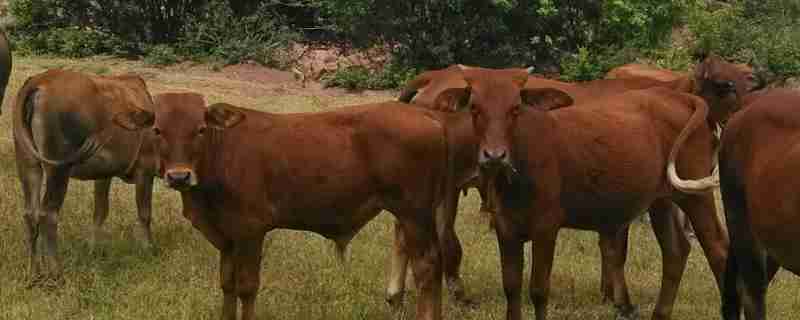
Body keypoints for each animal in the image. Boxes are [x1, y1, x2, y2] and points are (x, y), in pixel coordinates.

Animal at [14, 69, 159, 282]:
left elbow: (100, 212)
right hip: (58, 169)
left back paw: (34, 273)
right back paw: (56, 273)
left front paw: (93, 249)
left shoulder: (104, 174)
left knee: (30, 214)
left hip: (28, 164)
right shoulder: (145, 172)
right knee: (48, 214)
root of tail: (40, 81)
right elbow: (145, 213)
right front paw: (148, 249)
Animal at [115, 93, 460, 320]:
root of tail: (426, 115)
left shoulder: (251, 231)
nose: (179, 176)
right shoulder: (226, 237)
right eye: (157, 129)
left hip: (413, 212)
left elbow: (246, 286)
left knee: (427, 267)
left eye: (200, 129)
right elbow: (226, 284)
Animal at [434, 68, 728, 320]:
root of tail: (680, 97)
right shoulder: (506, 228)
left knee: (717, 248)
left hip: (696, 196)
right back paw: (659, 313)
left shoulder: (546, 227)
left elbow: (538, 290)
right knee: (675, 251)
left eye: (515, 108)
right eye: (475, 108)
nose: (494, 155)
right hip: (662, 201)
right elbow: (512, 287)